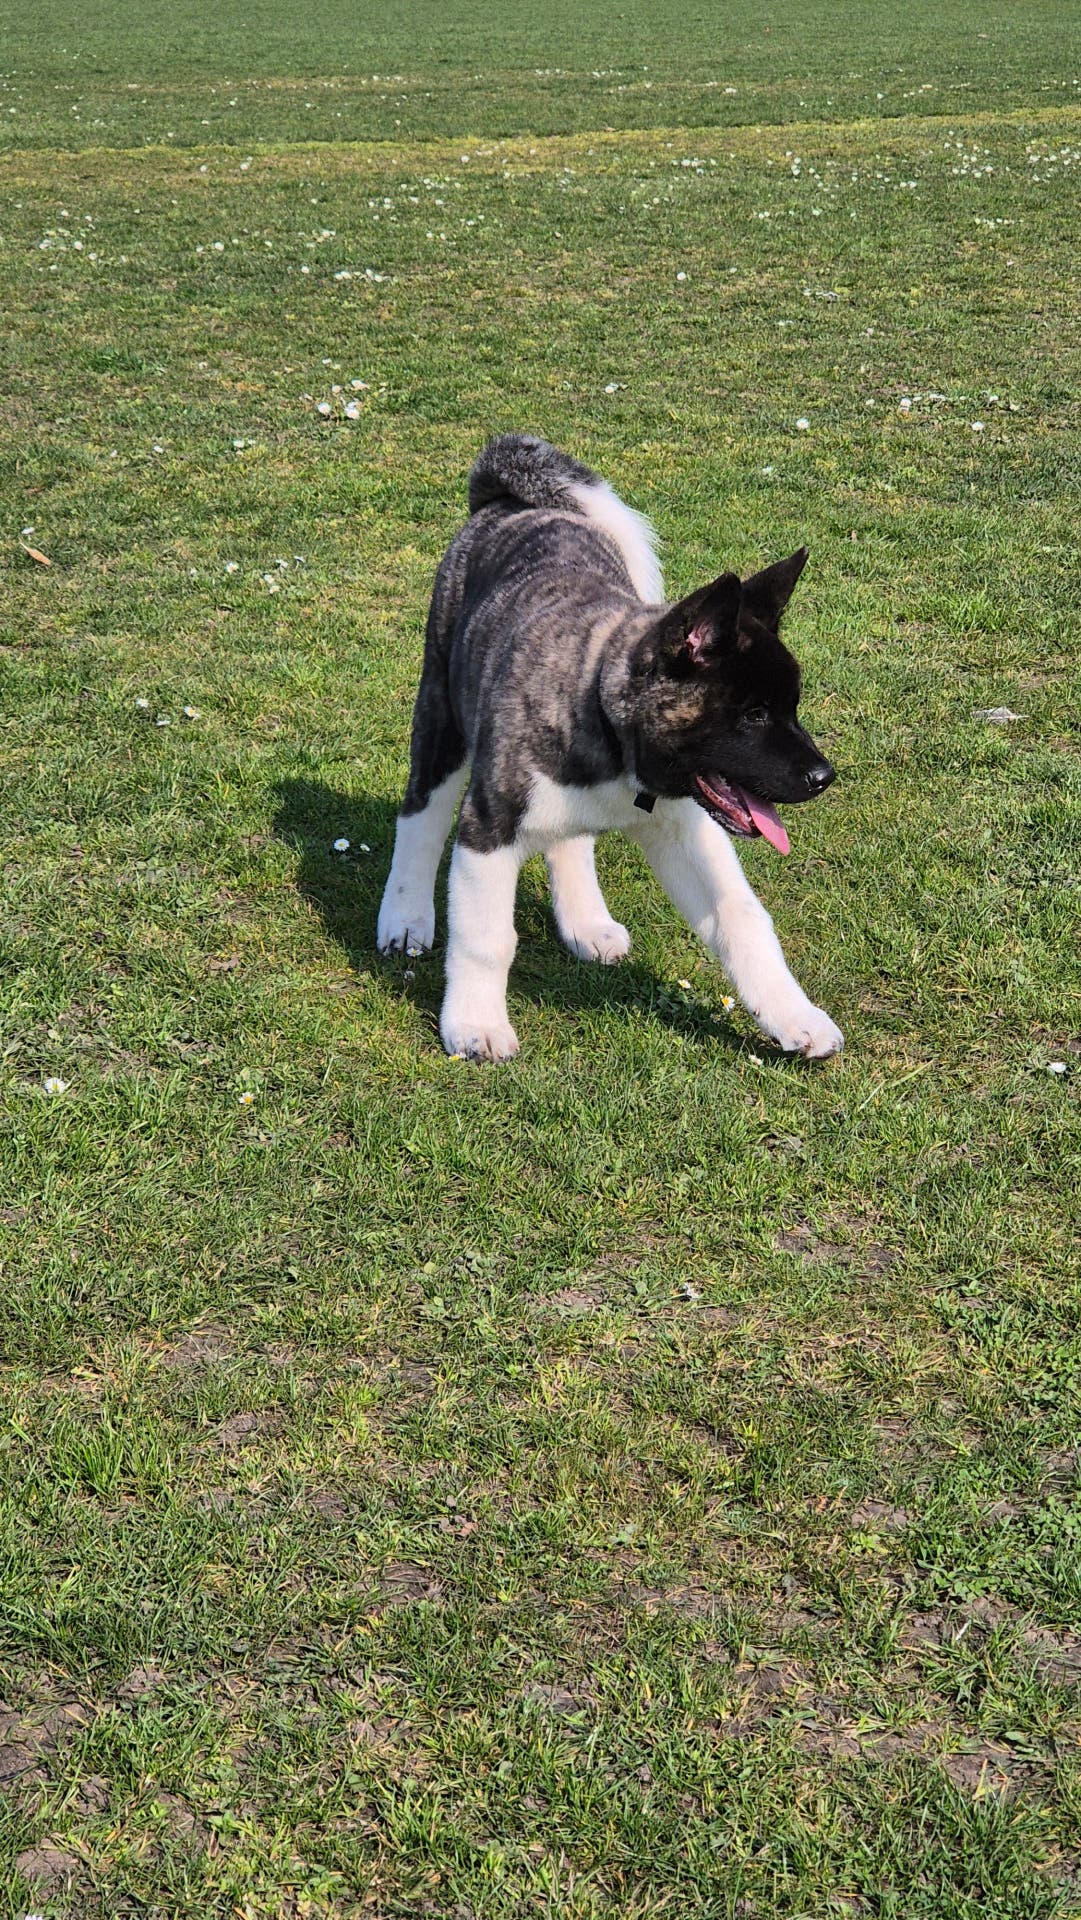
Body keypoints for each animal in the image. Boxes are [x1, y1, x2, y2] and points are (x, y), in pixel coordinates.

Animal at [378, 435, 843, 1062]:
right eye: (754, 715)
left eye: (790, 707)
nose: (823, 776)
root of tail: (506, 501)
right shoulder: (489, 827)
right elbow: (487, 937)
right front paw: (476, 1024)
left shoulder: (687, 829)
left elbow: (741, 917)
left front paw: (796, 1016)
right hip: (441, 714)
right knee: (421, 816)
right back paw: (405, 915)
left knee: (569, 840)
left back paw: (585, 921)